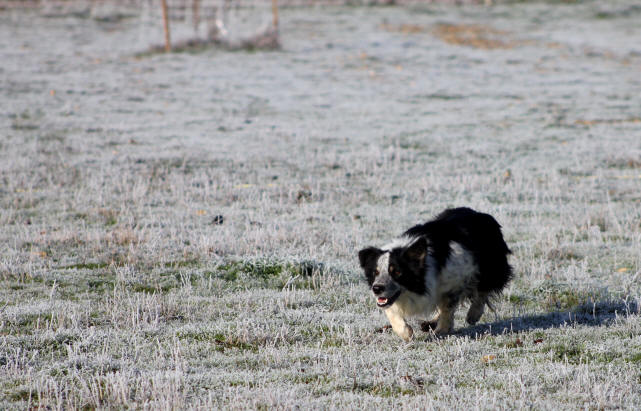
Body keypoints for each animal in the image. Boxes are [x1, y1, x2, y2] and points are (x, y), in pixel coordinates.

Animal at [358, 209, 512, 342]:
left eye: (397, 272)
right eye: (375, 272)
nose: (376, 289)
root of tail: (482, 215)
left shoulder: (457, 279)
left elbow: (448, 307)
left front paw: (441, 331)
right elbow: (391, 310)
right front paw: (406, 333)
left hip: (491, 266)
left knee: (483, 289)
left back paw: (473, 314)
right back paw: (429, 323)